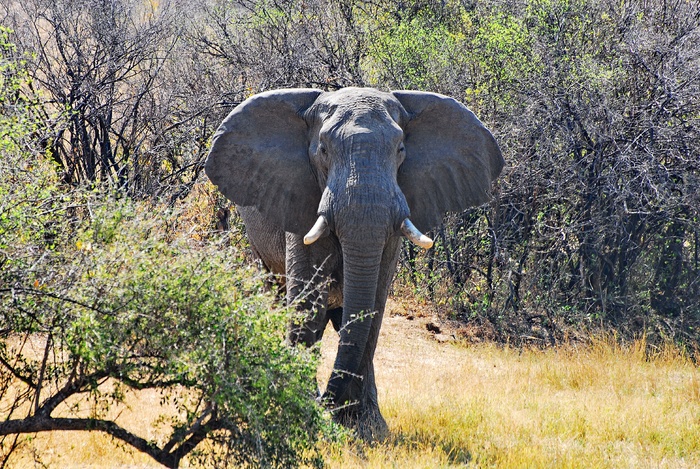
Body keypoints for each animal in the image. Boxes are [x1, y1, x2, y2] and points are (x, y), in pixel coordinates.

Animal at [204, 85, 504, 438]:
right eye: (322, 150)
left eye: (401, 149)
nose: (323, 404)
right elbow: (308, 306)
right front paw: (302, 413)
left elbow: (373, 307)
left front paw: (362, 428)